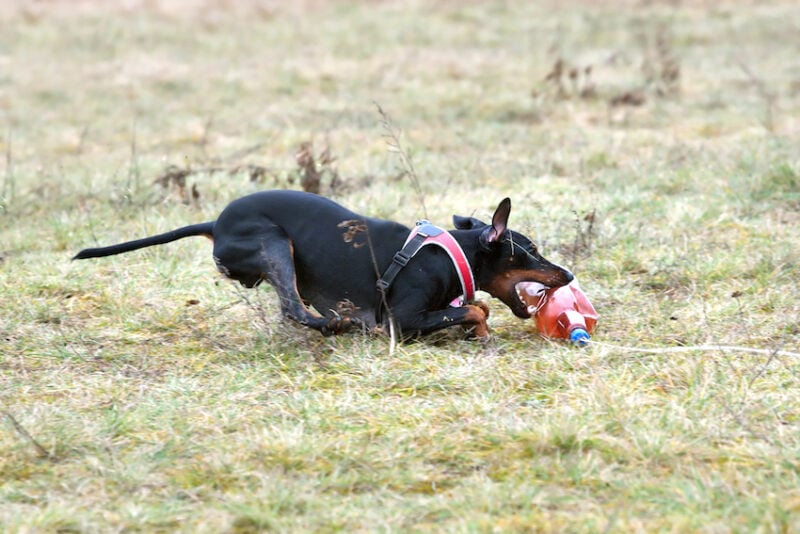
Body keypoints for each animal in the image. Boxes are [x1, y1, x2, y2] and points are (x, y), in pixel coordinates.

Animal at [75, 192, 572, 340]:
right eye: (529, 249)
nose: (568, 275)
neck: (449, 252)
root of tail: (215, 224)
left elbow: (475, 306)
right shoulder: (404, 318)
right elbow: (475, 308)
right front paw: (480, 333)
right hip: (275, 244)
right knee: (294, 310)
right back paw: (338, 326)